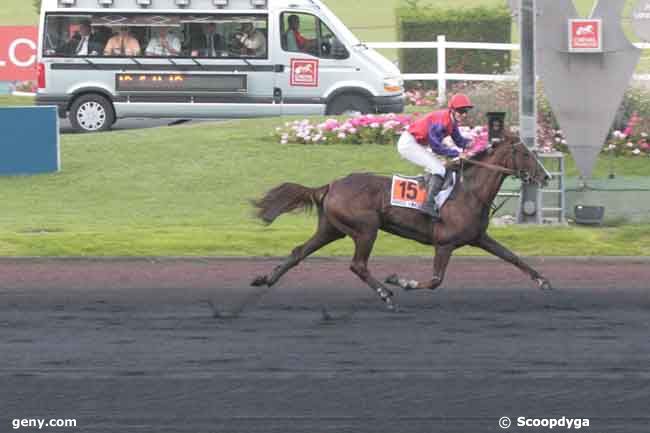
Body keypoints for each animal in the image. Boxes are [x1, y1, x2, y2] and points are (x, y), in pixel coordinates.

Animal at [251, 134, 548, 308]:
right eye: (525, 154)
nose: (545, 177)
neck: (469, 191)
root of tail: (330, 185)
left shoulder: (478, 237)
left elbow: (512, 257)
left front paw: (543, 281)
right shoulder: (444, 243)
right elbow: (435, 280)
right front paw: (401, 281)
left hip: (331, 229)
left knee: (299, 251)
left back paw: (266, 279)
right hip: (366, 229)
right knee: (358, 265)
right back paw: (385, 292)